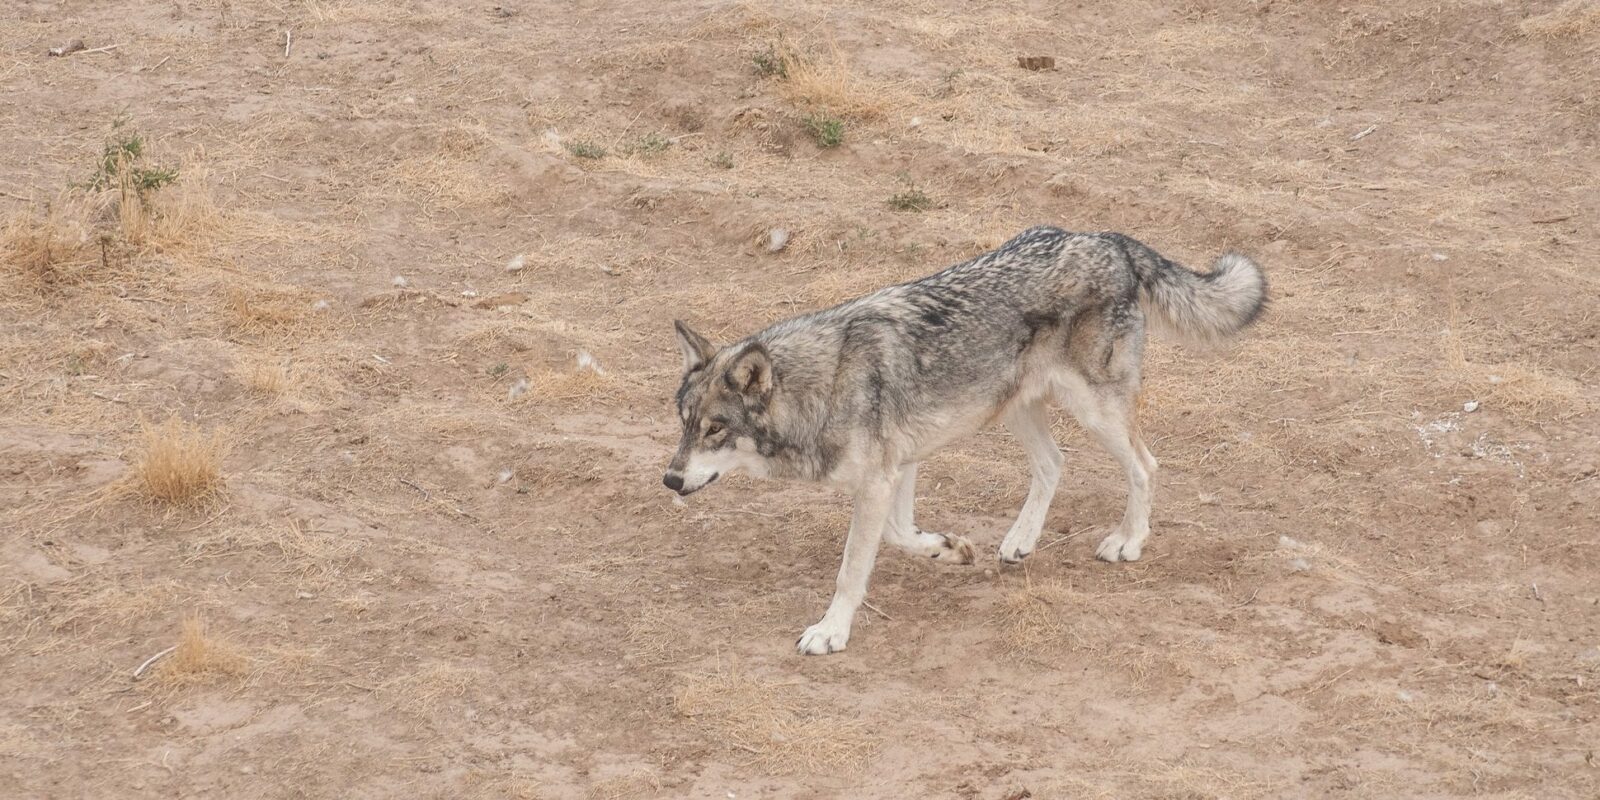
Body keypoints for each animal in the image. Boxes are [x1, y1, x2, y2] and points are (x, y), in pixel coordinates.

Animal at [659, 225, 1260, 656]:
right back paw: (1019, 541)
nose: (669, 478)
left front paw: (831, 632)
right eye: (684, 422)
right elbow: (900, 533)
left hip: (1095, 411)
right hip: (1017, 408)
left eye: (715, 428)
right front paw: (947, 548)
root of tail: (1108, 240)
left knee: (1145, 464)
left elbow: (852, 567)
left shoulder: (878, 479)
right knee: (1055, 464)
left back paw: (1128, 542)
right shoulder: (899, 467)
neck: (822, 385)